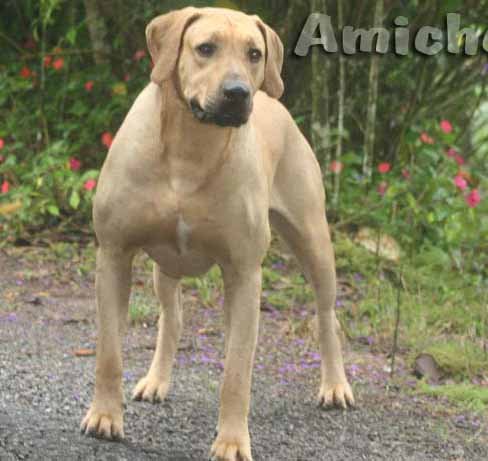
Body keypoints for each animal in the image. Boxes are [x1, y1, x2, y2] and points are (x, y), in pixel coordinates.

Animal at [81, 7, 354, 460]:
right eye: (205, 48)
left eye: (254, 53)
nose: (238, 92)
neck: (190, 146)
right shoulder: (114, 254)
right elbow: (109, 354)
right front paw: (104, 416)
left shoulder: (244, 273)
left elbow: (236, 373)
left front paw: (231, 440)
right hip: (164, 267)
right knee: (172, 317)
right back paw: (156, 380)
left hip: (313, 241)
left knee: (326, 314)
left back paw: (335, 385)